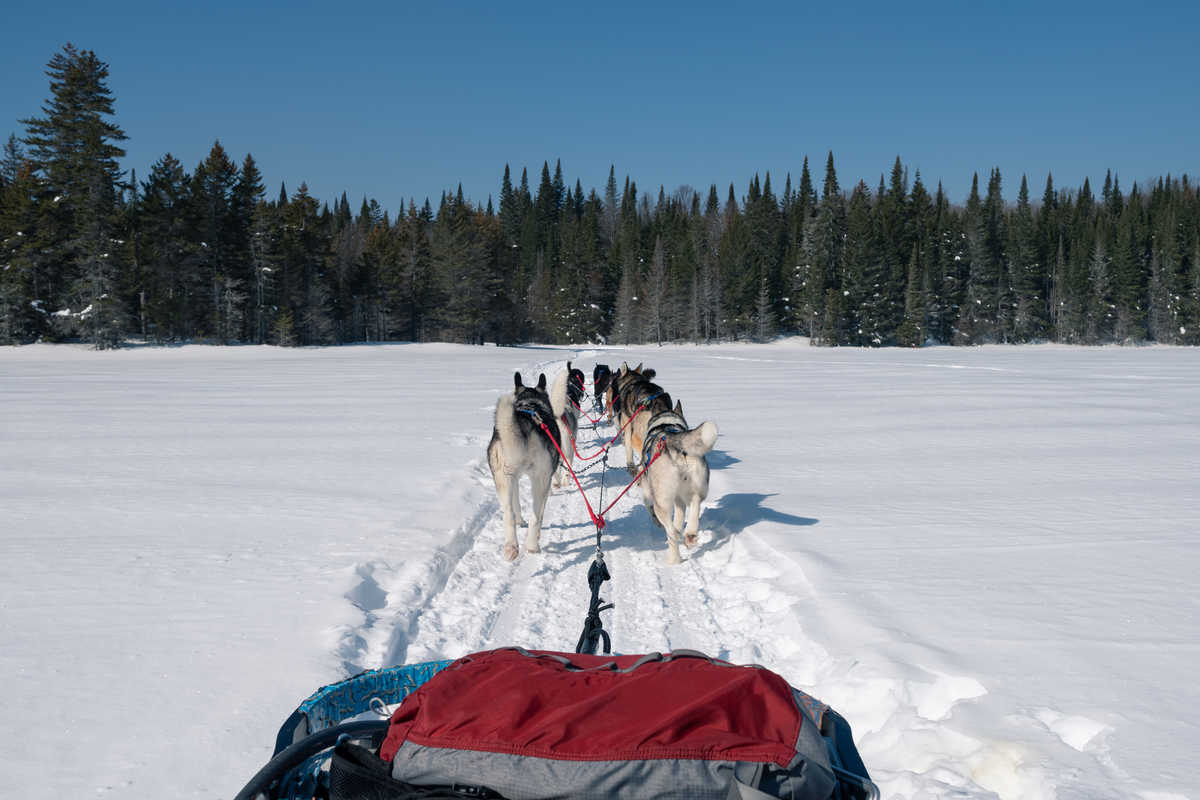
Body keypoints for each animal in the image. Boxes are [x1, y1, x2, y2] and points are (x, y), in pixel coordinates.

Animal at [487, 371, 561, 561]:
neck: (531, 401)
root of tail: (525, 423)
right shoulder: (546, 482)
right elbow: (540, 514)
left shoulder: (514, 478)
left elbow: (516, 504)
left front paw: (520, 521)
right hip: (540, 481)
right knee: (535, 516)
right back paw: (533, 545)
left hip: (503, 479)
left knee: (509, 513)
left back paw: (511, 547)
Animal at [638, 412, 720, 563]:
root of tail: (673, 439)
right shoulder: (679, 501)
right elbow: (680, 517)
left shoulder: (648, 494)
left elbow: (650, 509)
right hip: (698, 488)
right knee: (695, 502)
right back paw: (690, 534)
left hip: (662, 502)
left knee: (670, 530)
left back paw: (674, 552)